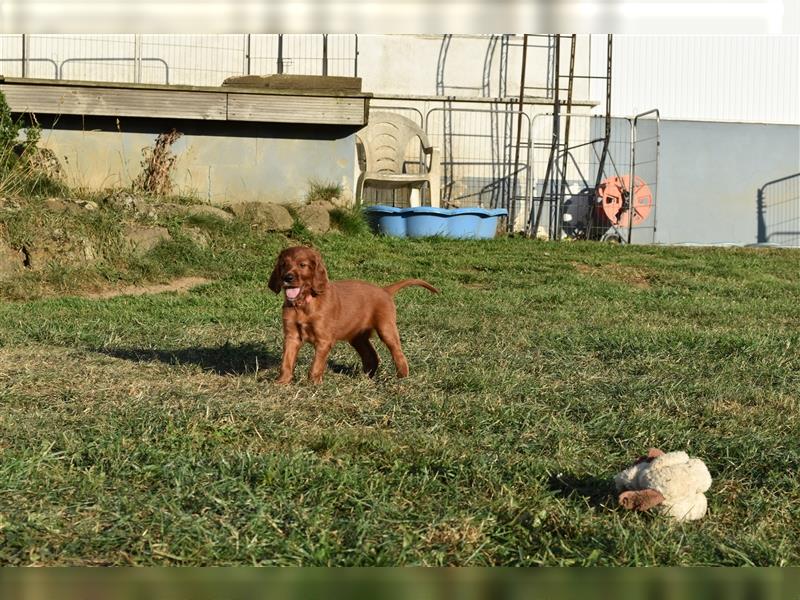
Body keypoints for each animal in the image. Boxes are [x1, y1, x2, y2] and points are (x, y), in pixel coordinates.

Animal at [272, 245, 440, 382]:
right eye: (283, 264)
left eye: (302, 265)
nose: (287, 277)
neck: (304, 304)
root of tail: (384, 290)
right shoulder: (291, 336)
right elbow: (286, 362)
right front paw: (282, 383)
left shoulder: (323, 340)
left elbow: (315, 366)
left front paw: (313, 384)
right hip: (357, 336)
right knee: (371, 356)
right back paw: (365, 378)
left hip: (386, 328)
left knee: (397, 353)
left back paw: (402, 378)